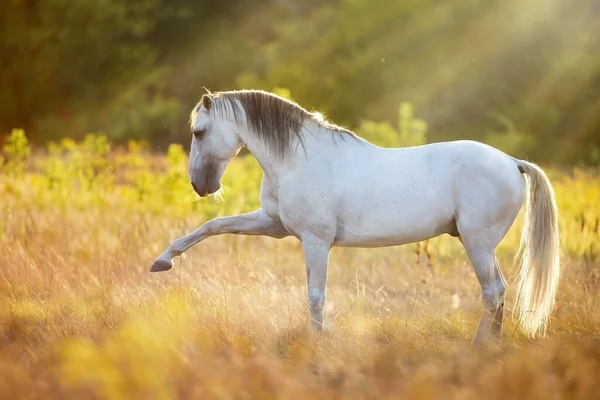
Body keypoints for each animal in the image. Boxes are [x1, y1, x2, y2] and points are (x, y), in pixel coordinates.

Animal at [149, 90, 556, 344]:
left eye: (199, 132)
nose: (200, 186)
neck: (299, 160)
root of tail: (512, 162)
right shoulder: (273, 225)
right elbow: (213, 226)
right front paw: (163, 261)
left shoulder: (315, 241)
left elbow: (315, 295)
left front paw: (317, 343)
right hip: (481, 244)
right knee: (499, 293)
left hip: (476, 242)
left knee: (493, 291)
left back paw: (478, 347)